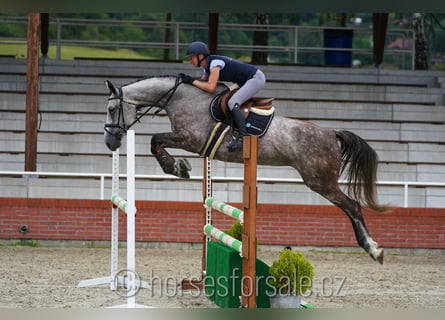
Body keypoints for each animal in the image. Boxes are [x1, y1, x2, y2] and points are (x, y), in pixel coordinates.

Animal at [104, 75, 388, 262]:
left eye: (111, 108)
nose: (110, 142)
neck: (181, 98)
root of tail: (332, 134)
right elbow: (157, 142)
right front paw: (178, 166)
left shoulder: (191, 139)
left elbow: (155, 140)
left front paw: (176, 167)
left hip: (320, 181)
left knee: (352, 206)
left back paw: (374, 249)